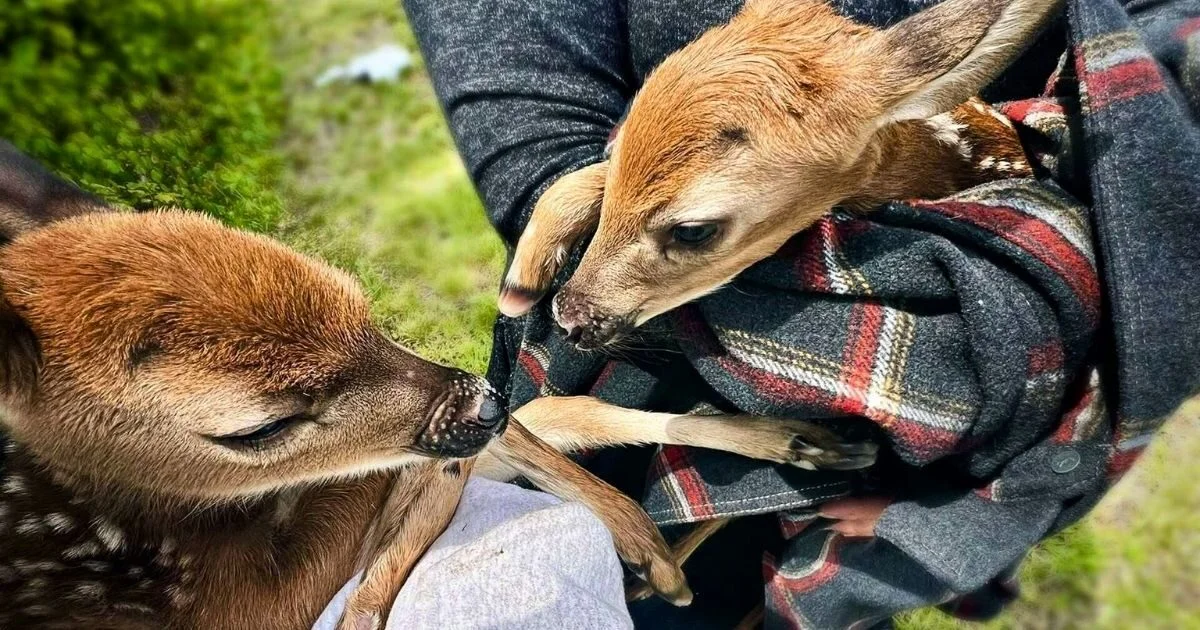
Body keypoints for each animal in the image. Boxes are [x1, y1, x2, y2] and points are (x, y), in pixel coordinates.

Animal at [0, 140, 879, 629]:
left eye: (358, 299)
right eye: (256, 428)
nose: (481, 400)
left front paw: (658, 564)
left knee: (574, 414)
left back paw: (809, 450)